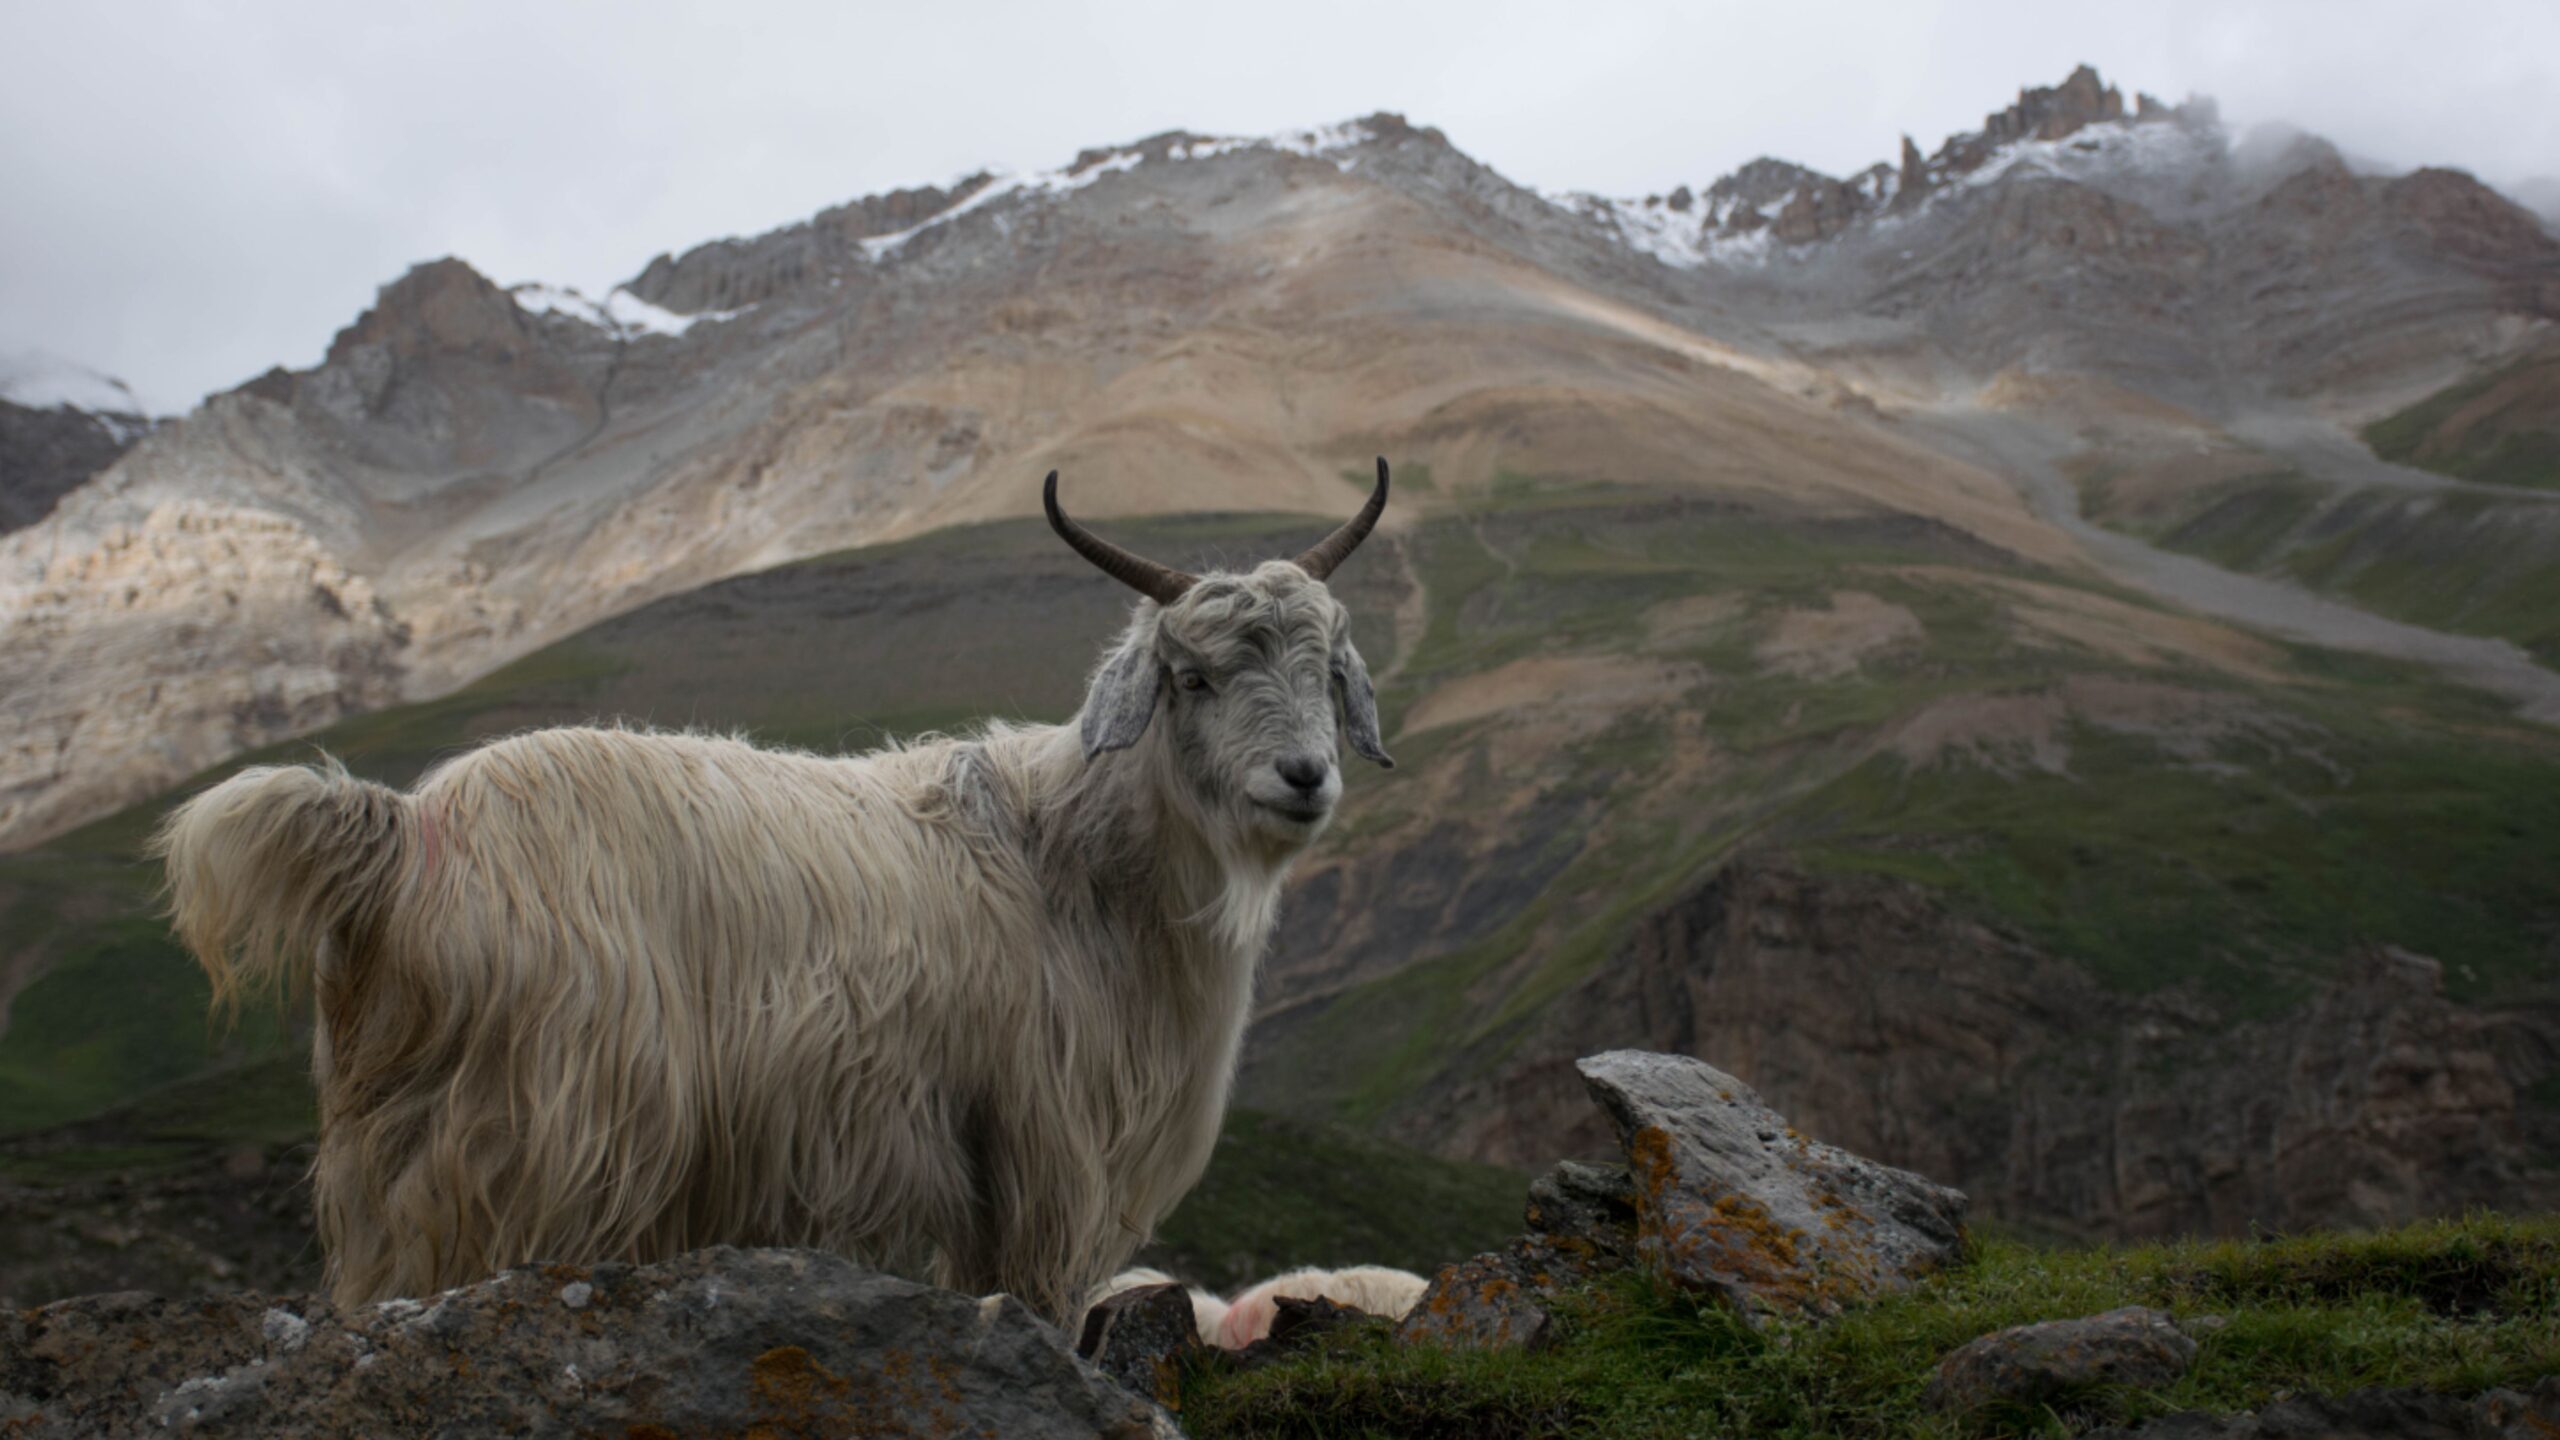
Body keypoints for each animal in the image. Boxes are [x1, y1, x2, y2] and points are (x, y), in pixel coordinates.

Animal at [154, 458, 1402, 1322]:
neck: (1075, 860)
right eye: (1190, 677)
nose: (1305, 778)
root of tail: (409, 827)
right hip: (544, 1131)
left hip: (388, 1133)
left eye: (1325, 670)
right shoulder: (1046, 1159)